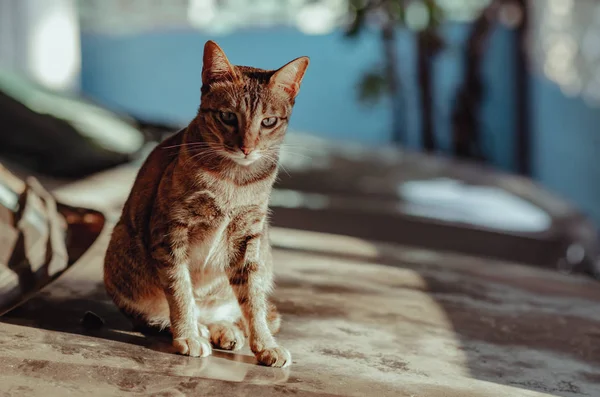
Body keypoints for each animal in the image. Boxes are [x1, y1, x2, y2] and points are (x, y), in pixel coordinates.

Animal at [102, 39, 308, 366]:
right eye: (228, 116)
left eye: (268, 121)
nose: (246, 147)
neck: (235, 181)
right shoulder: (171, 231)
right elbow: (180, 291)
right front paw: (187, 334)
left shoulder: (247, 238)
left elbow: (253, 302)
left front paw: (265, 344)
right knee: (158, 315)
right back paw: (198, 328)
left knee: (232, 312)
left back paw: (224, 329)